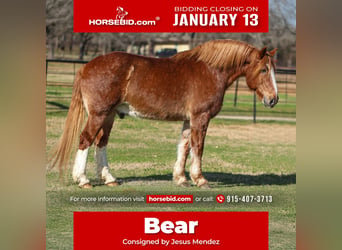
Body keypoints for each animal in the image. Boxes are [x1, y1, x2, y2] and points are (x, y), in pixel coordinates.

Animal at [48, 39, 278, 188]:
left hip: (109, 115)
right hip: (99, 114)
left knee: (101, 143)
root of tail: (86, 67)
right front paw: (200, 179)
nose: (273, 99)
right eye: (264, 70)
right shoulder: (200, 117)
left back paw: (110, 179)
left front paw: (181, 179)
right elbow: (198, 147)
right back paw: (83, 180)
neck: (210, 71)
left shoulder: (188, 120)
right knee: (85, 140)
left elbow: (184, 146)